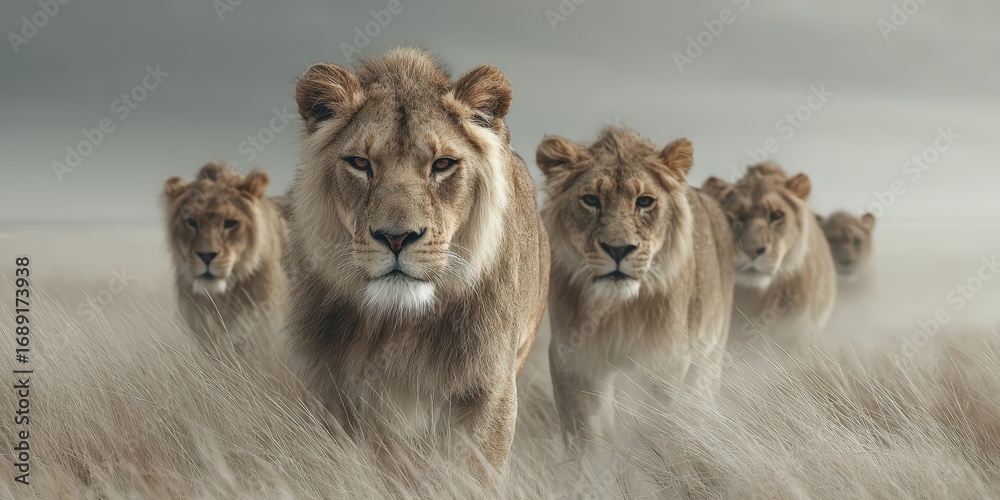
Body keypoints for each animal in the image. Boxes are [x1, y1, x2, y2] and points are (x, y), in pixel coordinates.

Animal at [283, 47, 548, 479]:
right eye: (360, 163)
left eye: (442, 164)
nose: (396, 237)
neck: (399, 323)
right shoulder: (329, 386)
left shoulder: (490, 388)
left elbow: (477, 476)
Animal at [538, 126, 734, 453]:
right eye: (591, 199)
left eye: (644, 201)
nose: (618, 249)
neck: (618, 310)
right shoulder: (573, 360)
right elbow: (587, 438)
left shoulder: (666, 362)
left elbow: (657, 427)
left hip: (709, 358)